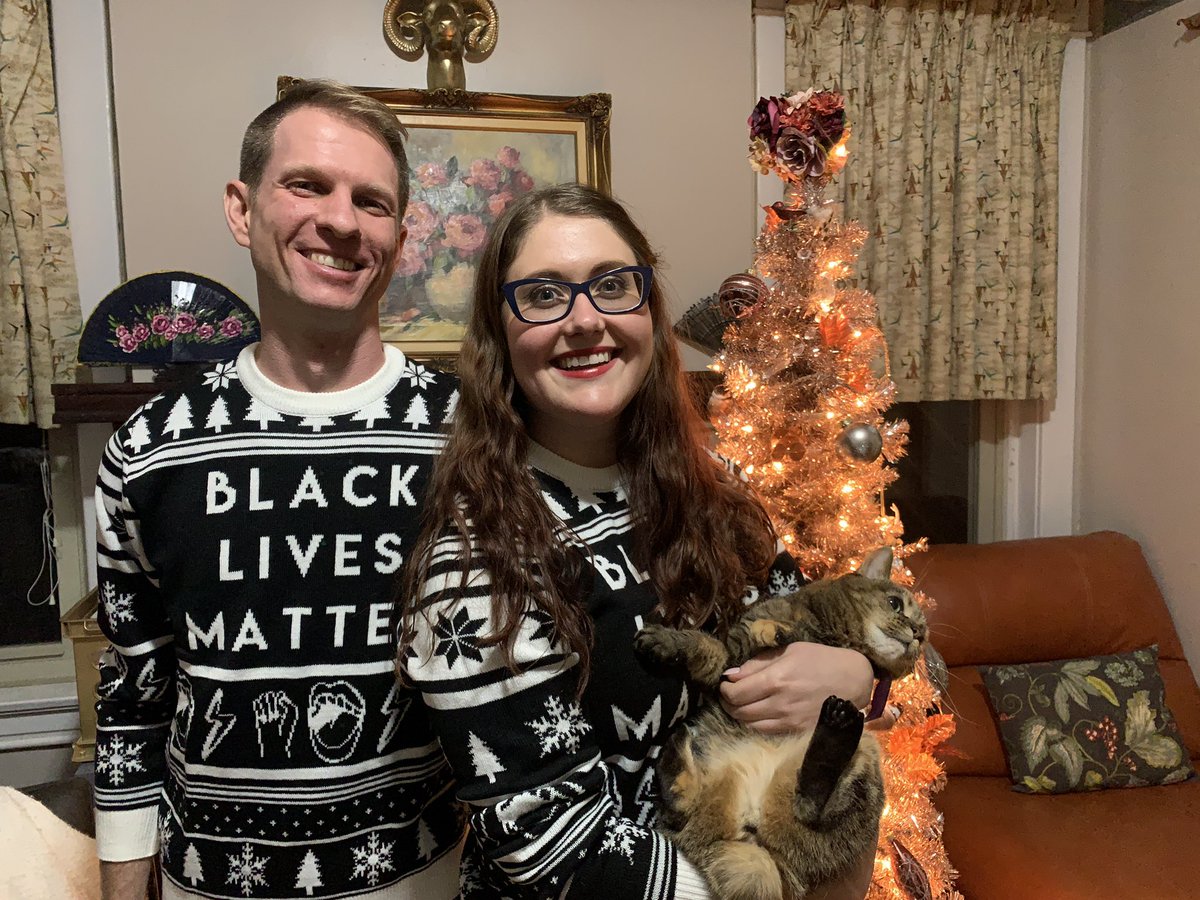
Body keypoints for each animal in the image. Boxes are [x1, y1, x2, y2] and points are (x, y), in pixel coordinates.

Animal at [638, 547, 926, 897]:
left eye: (924, 634)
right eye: (895, 603)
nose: (917, 635)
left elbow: (722, 641)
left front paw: (772, 631)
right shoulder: (731, 660)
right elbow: (705, 643)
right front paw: (666, 640)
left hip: (866, 754)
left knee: (812, 804)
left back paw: (836, 727)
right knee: (679, 811)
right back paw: (677, 749)